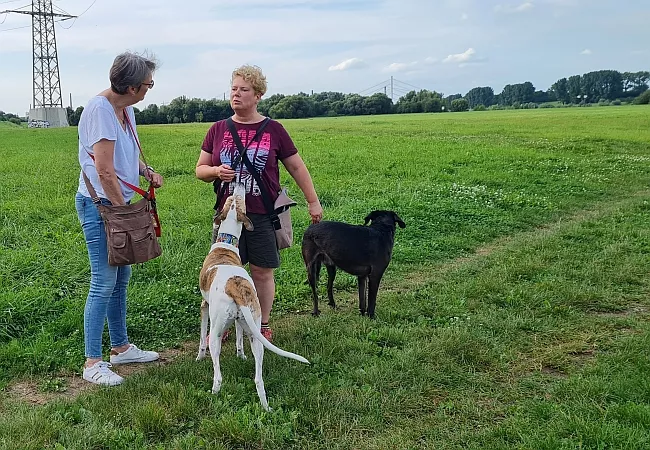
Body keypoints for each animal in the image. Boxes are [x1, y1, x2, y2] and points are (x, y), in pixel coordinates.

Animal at [195, 182, 308, 412]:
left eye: (236, 199)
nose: (237, 182)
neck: (226, 244)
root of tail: (236, 288)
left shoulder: (204, 306)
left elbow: (201, 337)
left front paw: (199, 357)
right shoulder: (240, 321)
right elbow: (239, 338)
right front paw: (240, 355)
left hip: (216, 332)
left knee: (218, 374)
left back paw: (213, 394)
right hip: (256, 333)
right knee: (258, 379)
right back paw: (266, 407)